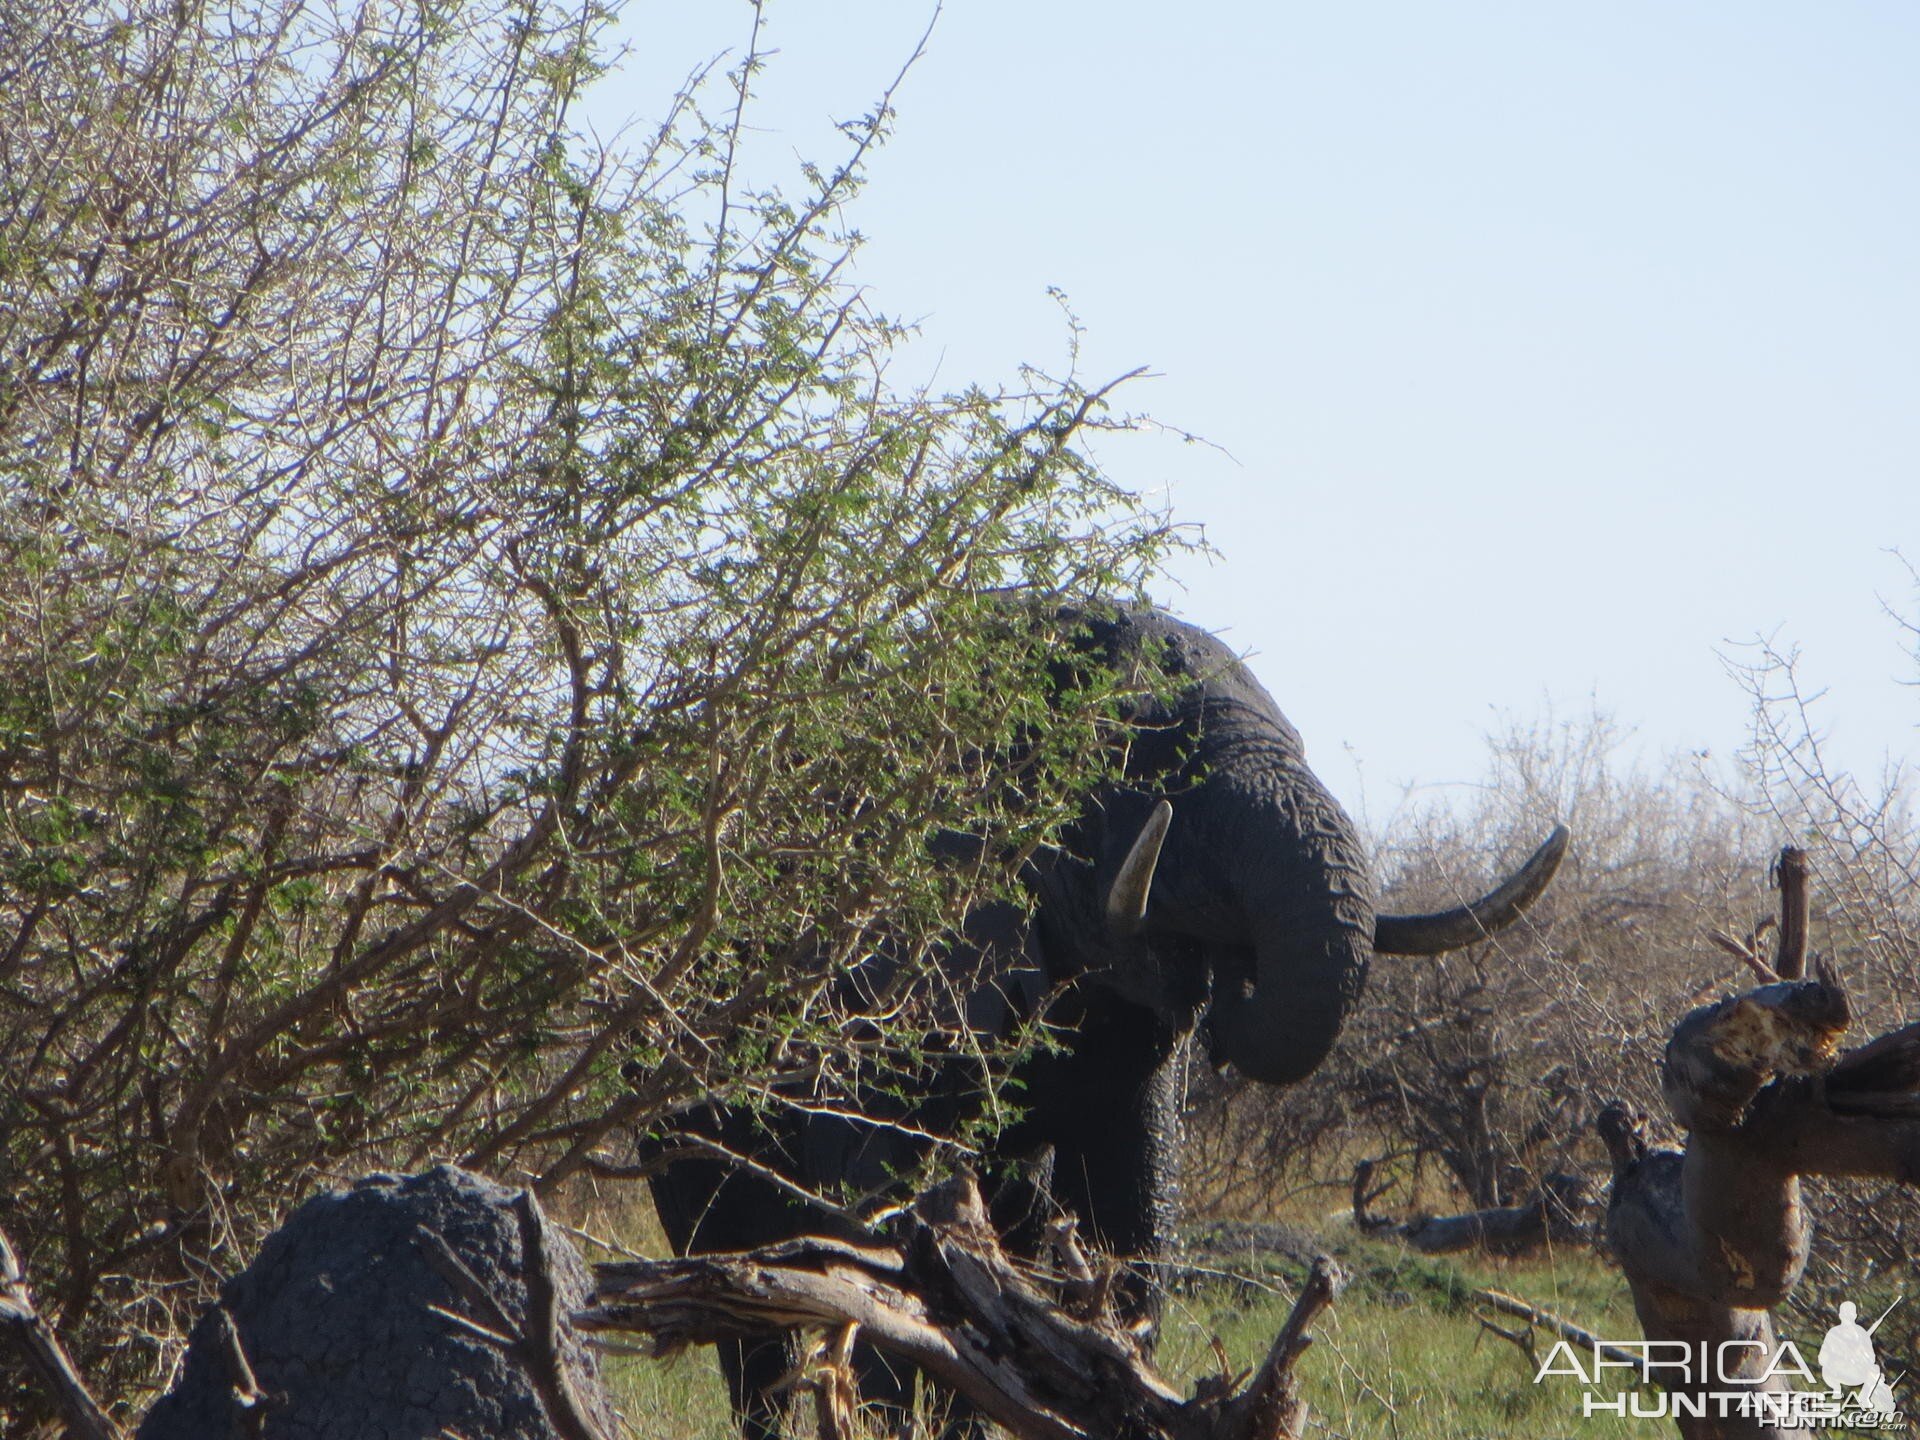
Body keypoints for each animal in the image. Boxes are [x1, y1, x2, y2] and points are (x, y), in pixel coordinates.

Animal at [637, 602, 1566, 1436]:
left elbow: (1128, 1208)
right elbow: (885, 1224)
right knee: (732, 1277)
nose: (1229, 981)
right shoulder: (886, 958)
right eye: (1139, 759)